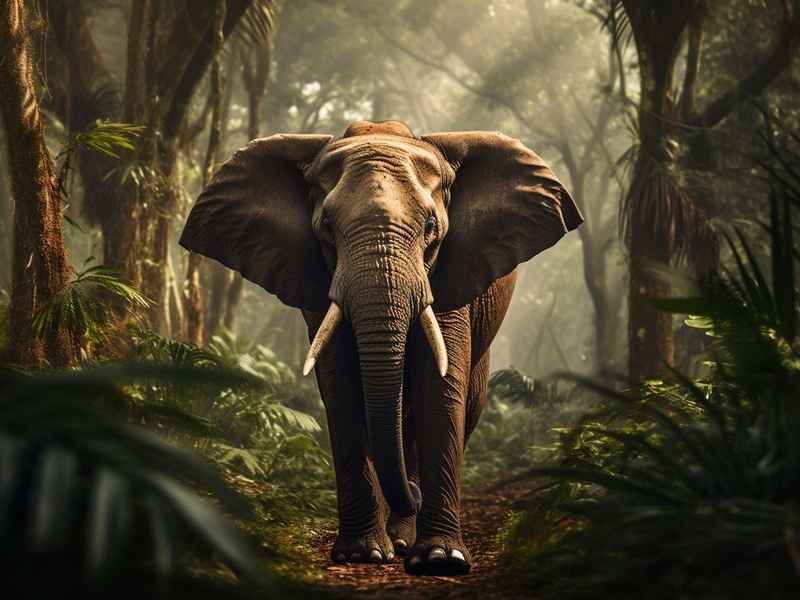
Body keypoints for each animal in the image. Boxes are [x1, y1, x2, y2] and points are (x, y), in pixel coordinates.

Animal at [179, 120, 581, 576]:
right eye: (326, 229)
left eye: (431, 227)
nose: (412, 493)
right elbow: (341, 387)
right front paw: (361, 554)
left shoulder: (450, 275)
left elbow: (439, 388)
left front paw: (441, 561)